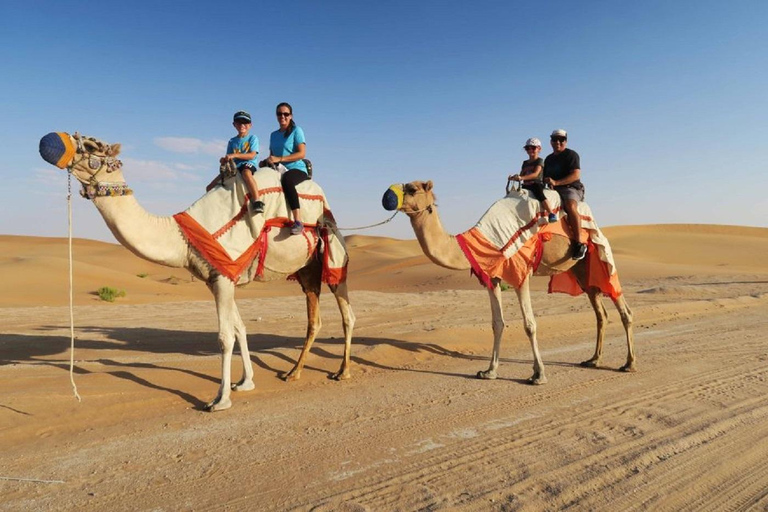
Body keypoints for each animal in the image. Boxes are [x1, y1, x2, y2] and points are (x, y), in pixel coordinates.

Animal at [37, 133, 356, 412]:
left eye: (92, 146)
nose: (50, 141)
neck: (180, 237)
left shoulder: (223, 279)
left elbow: (225, 337)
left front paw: (219, 399)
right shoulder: (219, 278)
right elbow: (239, 328)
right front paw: (246, 382)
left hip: (332, 251)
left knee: (346, 314)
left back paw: (342, 371)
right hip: (307, 270)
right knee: (313, 320)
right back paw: (293, 372)